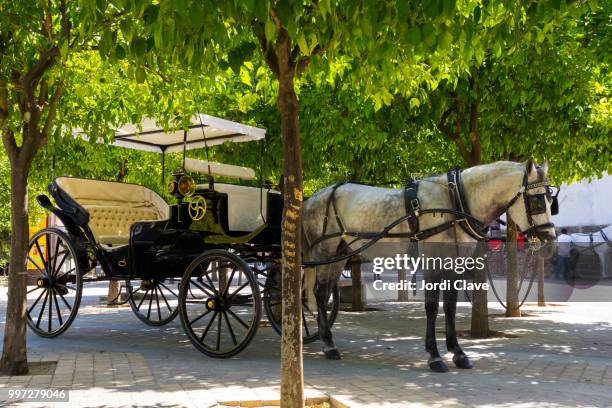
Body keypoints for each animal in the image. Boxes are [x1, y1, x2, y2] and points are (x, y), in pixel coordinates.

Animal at [304, 159, 556, 372]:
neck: (455, 200)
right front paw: (435, 356)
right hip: (326, 251)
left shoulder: (454, 264)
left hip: (340, 255)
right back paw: (329, 345)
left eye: (551, 200)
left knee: (323, 292)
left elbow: (451, 307)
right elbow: (432, 307)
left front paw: (458, 353)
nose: (550, 242)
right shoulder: (432, 262)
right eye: (536, 200)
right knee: (320, 293)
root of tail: (313, 197)